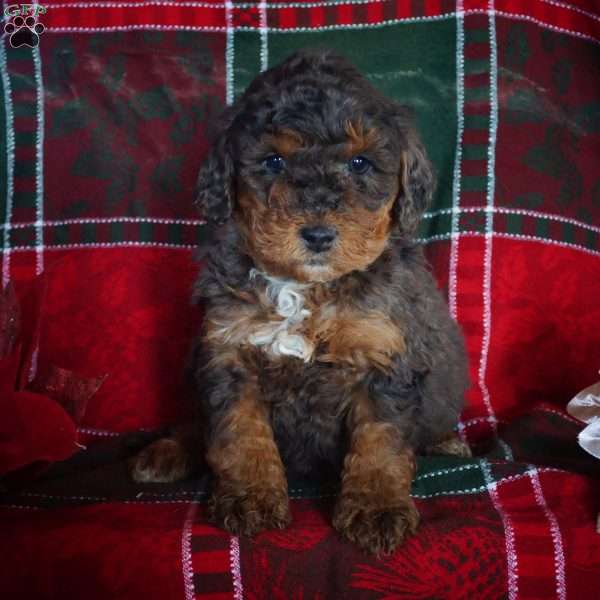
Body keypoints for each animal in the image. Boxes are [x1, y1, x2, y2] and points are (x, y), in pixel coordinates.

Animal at [130, 49, 468, 556]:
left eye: (360, 163)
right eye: (273, 161)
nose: (318, 235)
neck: (305, 288)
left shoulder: (384, 356)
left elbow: (379, 441)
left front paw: (376, 509)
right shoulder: (229, 350)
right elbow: (240, 433)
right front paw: (251, 497)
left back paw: (447, 441)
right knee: (194, 421)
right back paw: (167, 452)